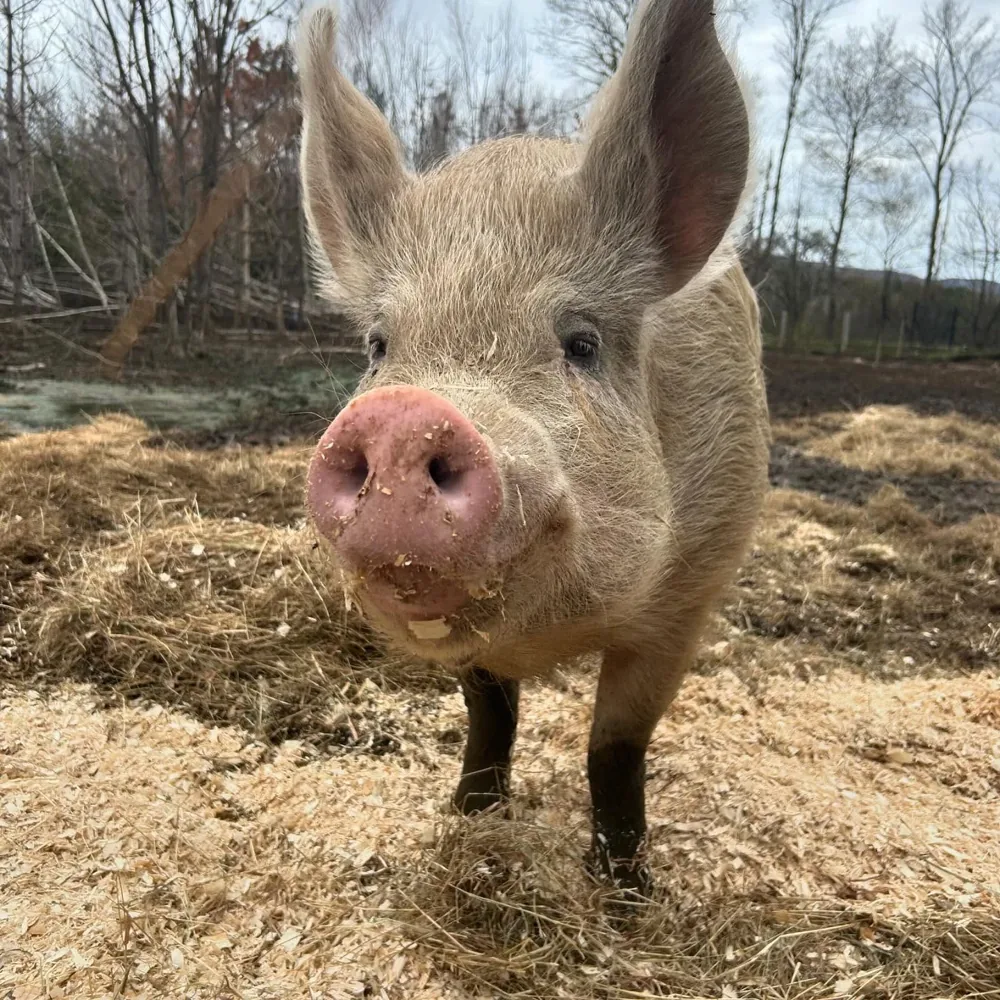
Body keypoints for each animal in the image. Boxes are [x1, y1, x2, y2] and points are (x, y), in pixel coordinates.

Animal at [299, 0, 769, 898]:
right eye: (379, 346)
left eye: (580, 343)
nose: (404, 415)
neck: (555, 632)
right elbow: (492, 715)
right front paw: (468, 818)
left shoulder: (688, 595)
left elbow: (615, 745)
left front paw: (626, 892)